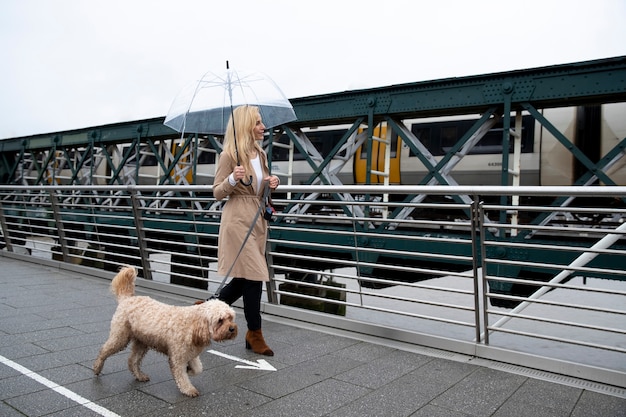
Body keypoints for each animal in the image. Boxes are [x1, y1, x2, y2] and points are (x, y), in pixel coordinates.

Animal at [92, 266, 236, 396]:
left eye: (230, 317)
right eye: (220, 320)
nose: (232, 329)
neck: (193, 325)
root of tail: (128, 298)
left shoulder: (191, 354)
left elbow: (198, 369)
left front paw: (189, 370)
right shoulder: (177, 357)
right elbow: (182, 377)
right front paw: (189, 389)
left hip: (142, 342)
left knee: (132, 361)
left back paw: (140, 376)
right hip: (120, 337)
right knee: (104, 350)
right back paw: (97, 367)